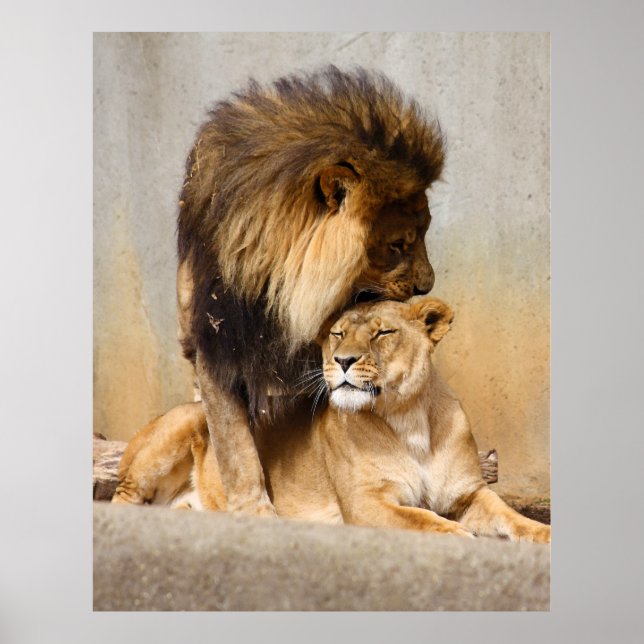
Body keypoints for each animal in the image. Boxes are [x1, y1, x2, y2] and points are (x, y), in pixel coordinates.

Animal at [114, 296, 550, 544]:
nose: (342, 360)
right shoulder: (364, 503)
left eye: (383, 333)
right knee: (123, 497)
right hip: (185, 422)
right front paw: (458, 534)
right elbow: (420, 518)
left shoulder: (469, 493)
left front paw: (543, 534)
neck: (408, 418)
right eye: (337, 334)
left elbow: (512, 517)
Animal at [175, 66, 446, 516]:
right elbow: (234, 444)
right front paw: (254, 509)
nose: (428, 285)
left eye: (423, 234)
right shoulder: (214, 344)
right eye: (398, 245)